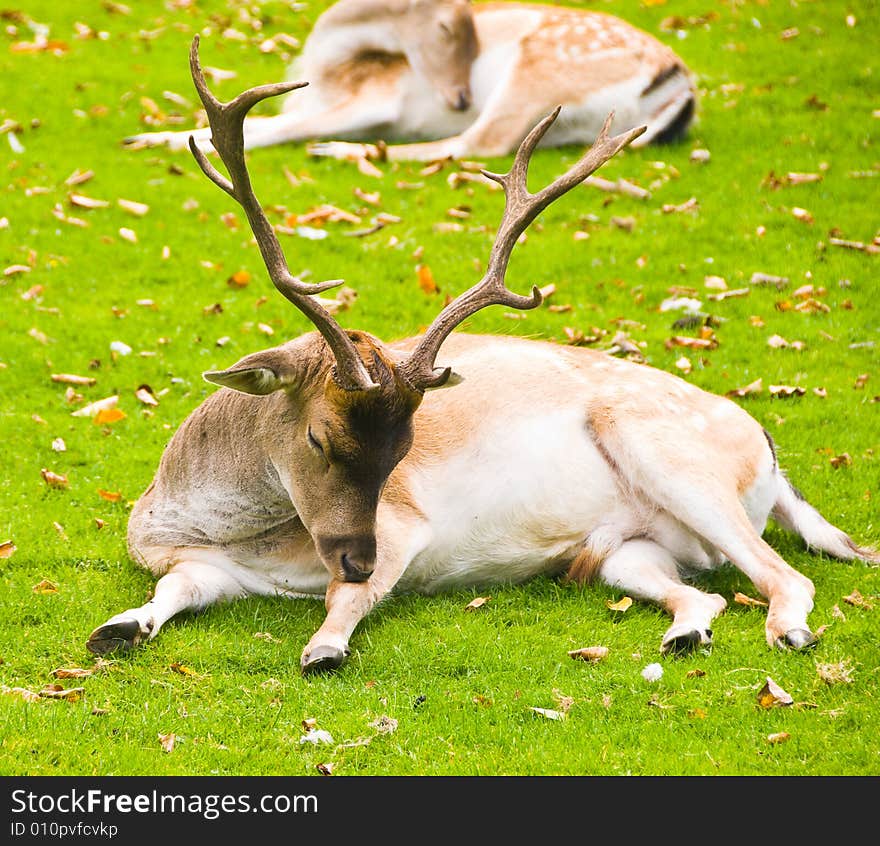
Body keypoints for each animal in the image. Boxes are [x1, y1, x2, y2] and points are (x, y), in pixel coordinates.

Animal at [87, 36, 872, 680]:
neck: (209, 527)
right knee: (703, 593)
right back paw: (684, 635)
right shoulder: (199, 566)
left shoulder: (403, 527)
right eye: (319, 437)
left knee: (785, 576)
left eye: (404, 451)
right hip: (628, 551)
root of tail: (769, 450)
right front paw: (118, 628)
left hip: (670, 455)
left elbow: (351, 601)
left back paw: (792, 633)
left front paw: (323, 647)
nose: (357, 555)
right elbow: (176, 588)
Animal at [122, 0, 696, 161]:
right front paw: (148, 137)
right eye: (448, 29)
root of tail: (682, 88)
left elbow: (277, 130)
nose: (460, 97)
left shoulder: (377, 98)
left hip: (539, 72)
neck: (324, 71)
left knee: (478, 144)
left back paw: (339, 151)